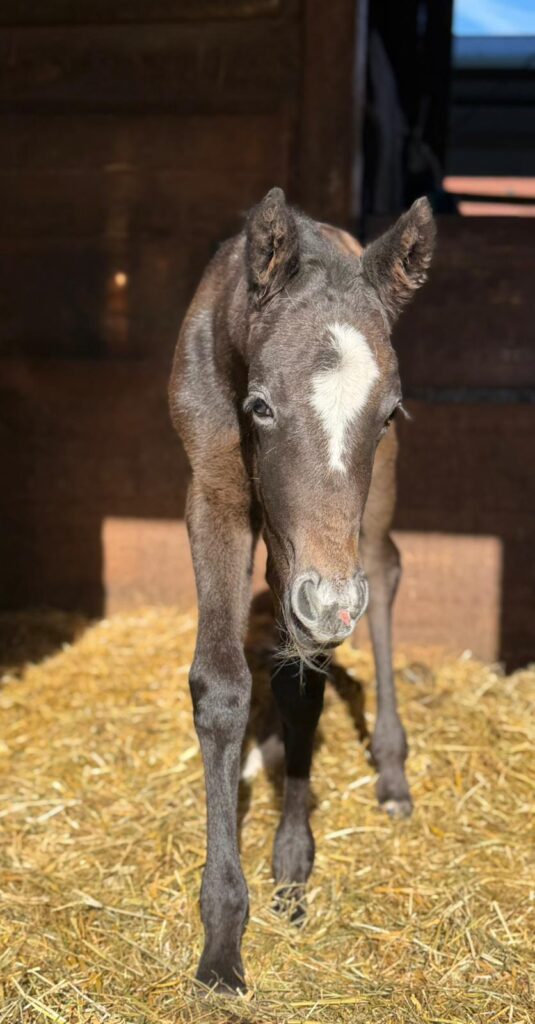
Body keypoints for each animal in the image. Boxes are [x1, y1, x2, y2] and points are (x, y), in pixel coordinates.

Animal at [169, 187, 435, 993]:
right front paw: (222, 947)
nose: (331, 605)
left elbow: (301, 680)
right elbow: (223, 686)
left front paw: (291, 866)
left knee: (383, 572)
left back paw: (391, 770)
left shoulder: (320, 564)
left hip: (366, 517)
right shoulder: (215, 495)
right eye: (260, 406)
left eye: (386, 411)